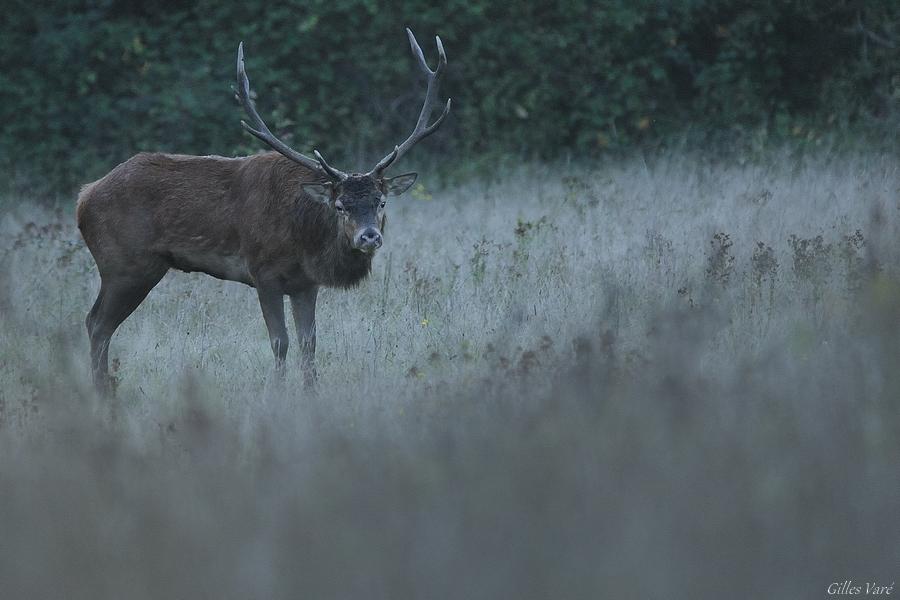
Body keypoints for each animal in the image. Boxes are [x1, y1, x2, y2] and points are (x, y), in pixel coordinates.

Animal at [76, 28, 450, 394]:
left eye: (381, 202)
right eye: (340, 205)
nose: (369, 236)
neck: (304, 240)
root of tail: (84, 196)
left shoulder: (305, 283)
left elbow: (309, 342)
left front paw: (311, 394)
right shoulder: (262, 272)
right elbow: (279, 342)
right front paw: (278, 394)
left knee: (97, 322)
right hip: (126, 264)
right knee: (97, 323)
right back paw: (102, 393)